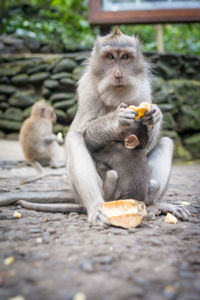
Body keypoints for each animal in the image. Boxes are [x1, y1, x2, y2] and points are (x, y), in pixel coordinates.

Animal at [65, 27, 190, 225]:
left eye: (124, 57)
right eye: (110, 57)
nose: (118, 75)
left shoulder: (144, 88)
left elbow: (147, 144)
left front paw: (155, 114)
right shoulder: (87, 88)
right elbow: (84, 134)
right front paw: (117, 119)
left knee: (167, 143)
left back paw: (154, 204)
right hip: (90, 192)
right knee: (74, 139)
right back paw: (96, 206)